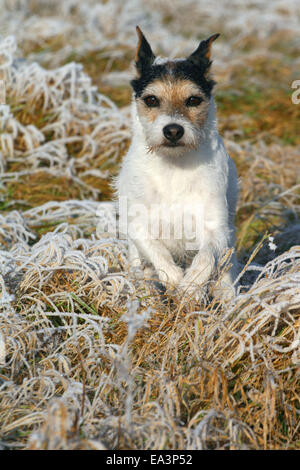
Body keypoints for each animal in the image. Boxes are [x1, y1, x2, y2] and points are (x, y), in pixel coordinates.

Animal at [115, 25, 239, 300]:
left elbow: (205, 257)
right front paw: (174, 278)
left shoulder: (216, 230)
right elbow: (155, 248)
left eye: (193, 100)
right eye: (151, 100)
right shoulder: (136, 224)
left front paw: (191, 285)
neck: (174, 166)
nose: (173, 130)